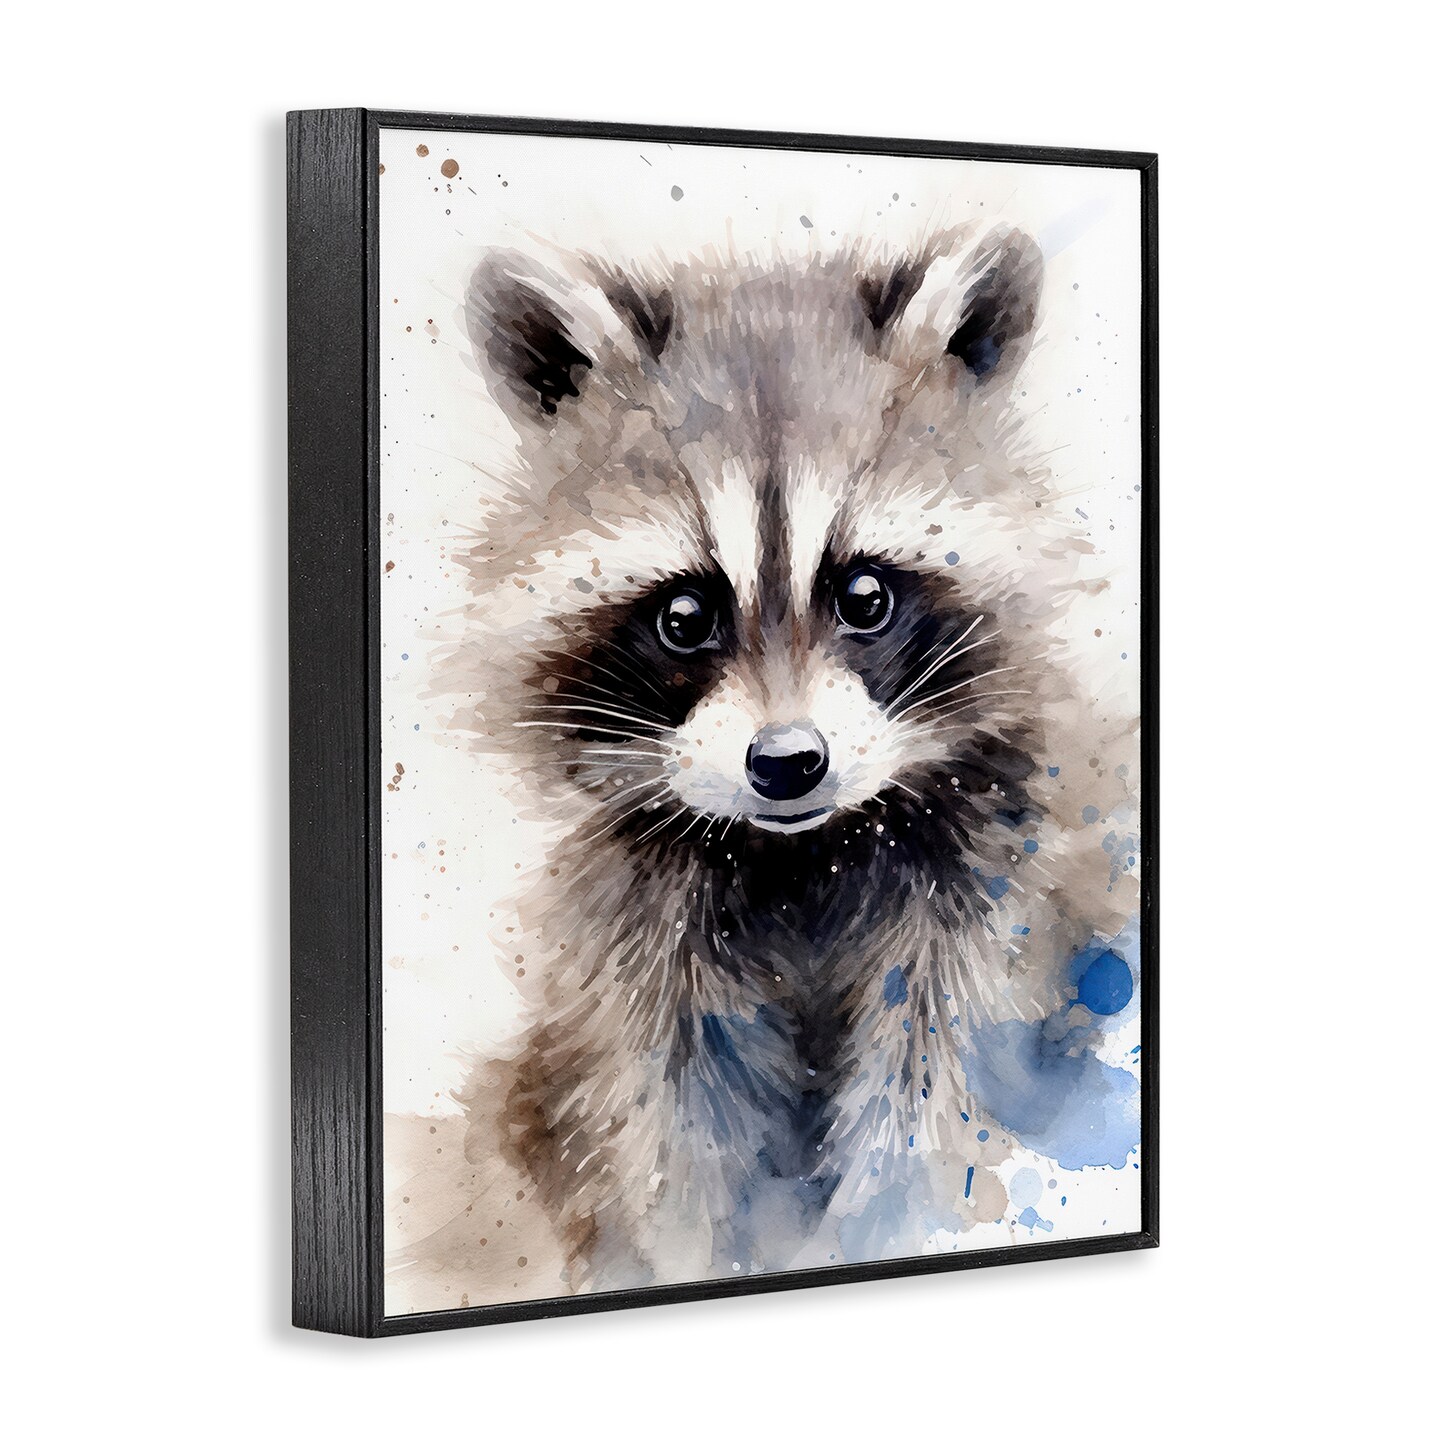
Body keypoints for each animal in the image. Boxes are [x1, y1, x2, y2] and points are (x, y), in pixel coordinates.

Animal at [433, 227, 1139, 1290]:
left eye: (865, 596)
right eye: (685, 615)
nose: (787, 762)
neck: (803, 856)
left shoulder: (995, 886)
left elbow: (936, 1102)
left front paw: (888, 1224)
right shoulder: (642, 945)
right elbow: (674, 1135)